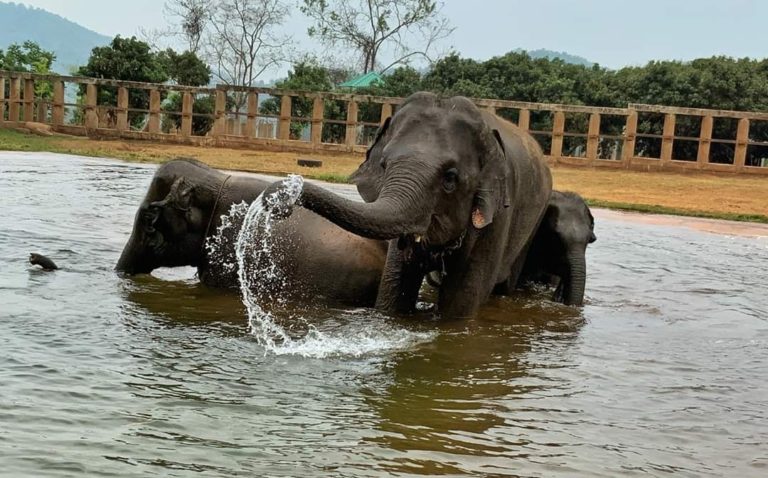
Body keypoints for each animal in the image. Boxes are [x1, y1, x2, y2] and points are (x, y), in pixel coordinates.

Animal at [264, 91, 552, 320]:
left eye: (450, 178)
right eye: (384, 165)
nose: (279, 199)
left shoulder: (496, 218)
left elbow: (459, 305)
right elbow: (395, 290)